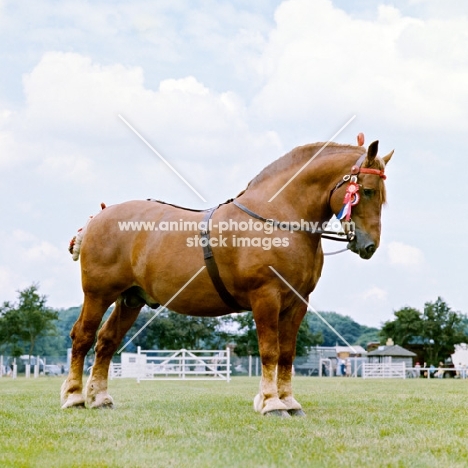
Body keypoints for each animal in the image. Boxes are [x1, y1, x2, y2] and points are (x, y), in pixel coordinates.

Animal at [61, 139, 392, 416]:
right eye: (367, 191)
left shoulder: (297, 302)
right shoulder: (266, 297)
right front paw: (271, 403)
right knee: (83, 337)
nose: (369, 245)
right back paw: (74, 397)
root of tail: (98, 217)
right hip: (98, 295)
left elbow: (287, 354)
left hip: (130, 300)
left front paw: (289, 402)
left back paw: (99, 398)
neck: (277, 218)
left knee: (106, 341)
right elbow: (270, 351)